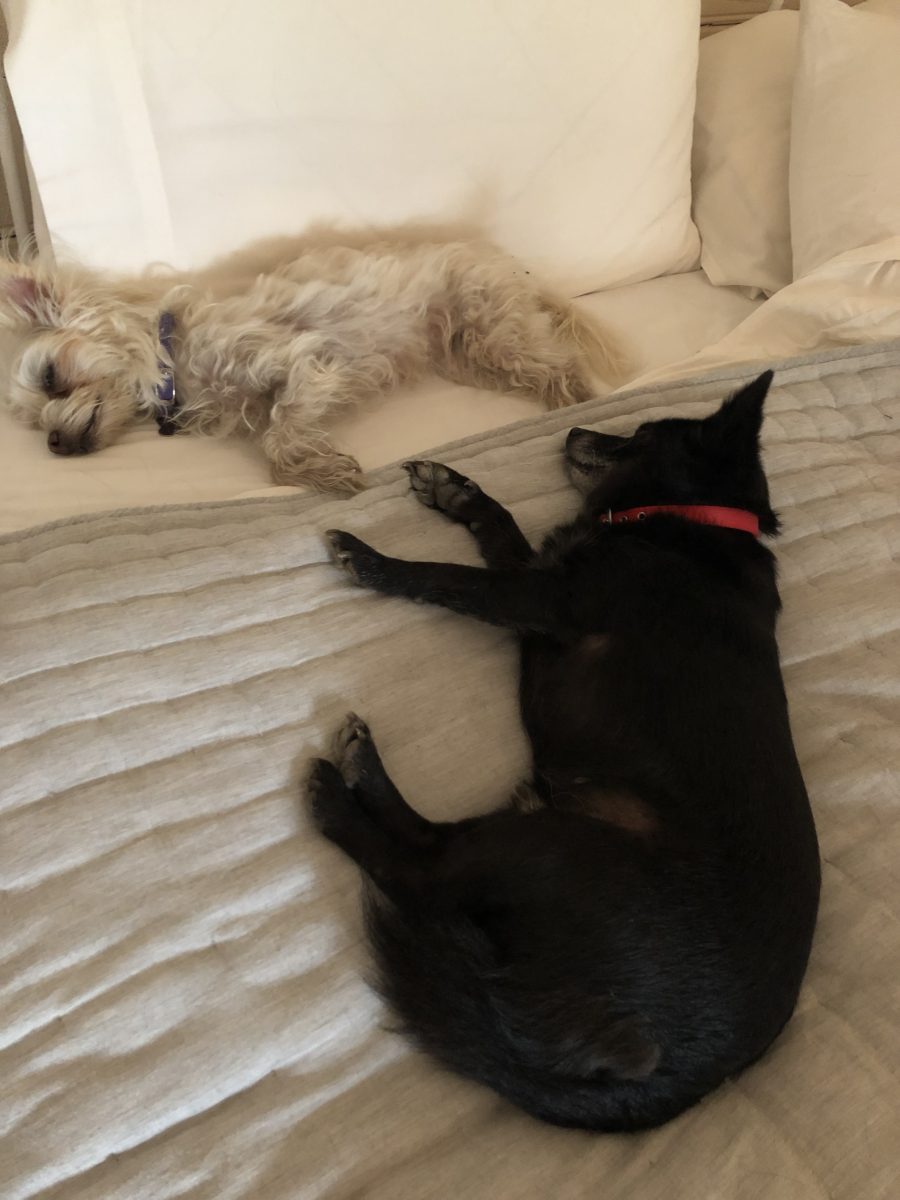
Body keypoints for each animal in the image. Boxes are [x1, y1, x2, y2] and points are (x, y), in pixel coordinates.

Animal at [0, 229, 619, 492]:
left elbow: (278, 441)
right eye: (31, 426)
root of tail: (511, 266)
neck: (179, 363)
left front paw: (319, 472)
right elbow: (277, 435)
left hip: (494, 333)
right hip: (471, 354)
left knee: (561, 368)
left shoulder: (301, 362)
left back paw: (574, 406)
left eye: (52, 378)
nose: (52, 444)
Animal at [307, 369, 820, 1128]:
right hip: (538, 820)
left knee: (422, 866)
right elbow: (501, 528)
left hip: (553, 846)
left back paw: (338, 792)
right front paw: (456, 491)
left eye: (641, 433)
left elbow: (450, 579)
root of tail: (673, 1073)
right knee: (432, 843)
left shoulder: (541, 598)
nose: (575, 429)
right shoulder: (536, 582)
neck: (696, 519)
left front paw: (371, 560)